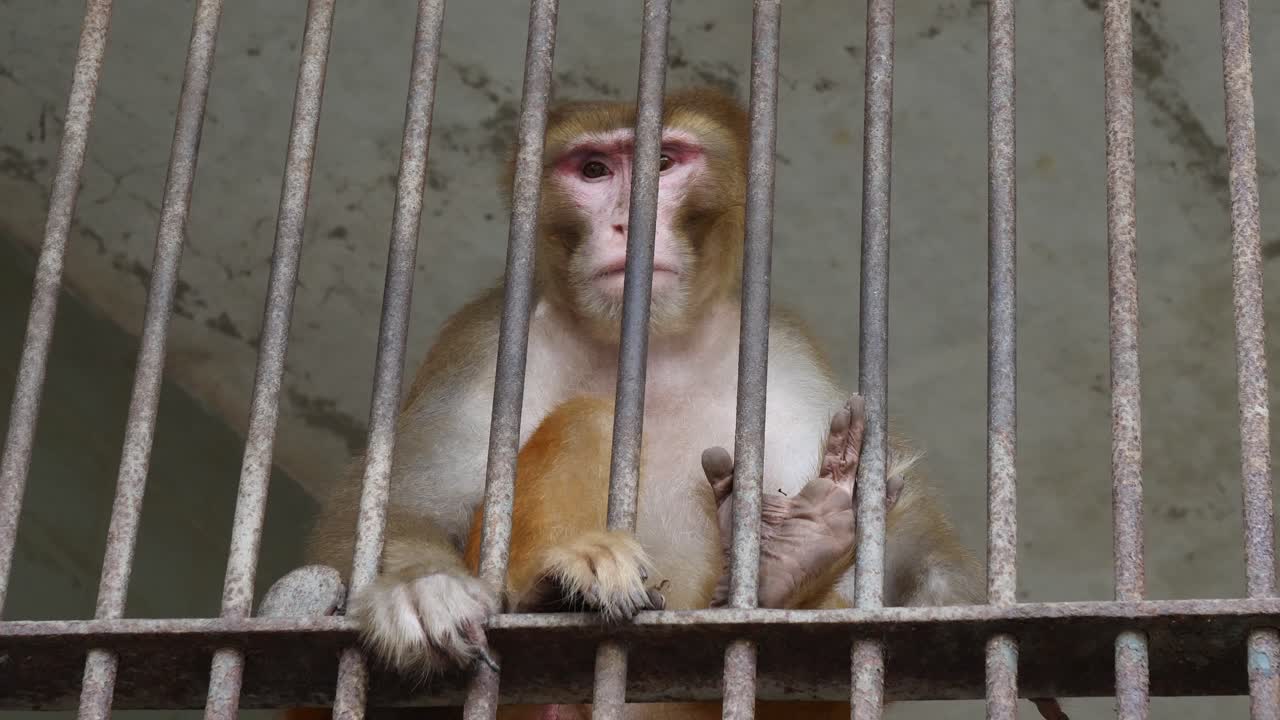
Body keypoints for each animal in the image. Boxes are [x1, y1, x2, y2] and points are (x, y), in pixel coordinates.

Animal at [300, 86, 1042, 719]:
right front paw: (420, 588)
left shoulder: (783, 350)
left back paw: (789, 568)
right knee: (589, 418)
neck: (651, 346)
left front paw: (948, 602)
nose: (630, 223)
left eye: (663, 162)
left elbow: (908, 546)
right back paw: (565, 583)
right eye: (593, 170)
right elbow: (402, 501)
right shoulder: (483, 339)